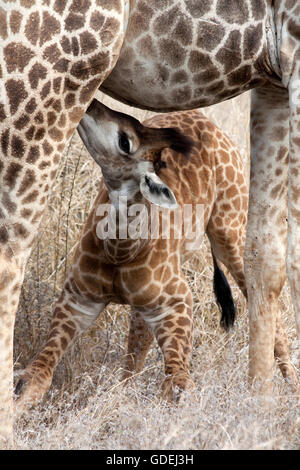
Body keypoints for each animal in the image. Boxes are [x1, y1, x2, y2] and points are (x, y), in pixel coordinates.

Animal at [0, 0, 298, 448]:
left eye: (126, 138)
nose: (94, 107)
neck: (119, 249)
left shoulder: (274, 76)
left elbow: (266, 261)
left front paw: (261, 410)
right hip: (50, 75)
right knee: (12, 254)